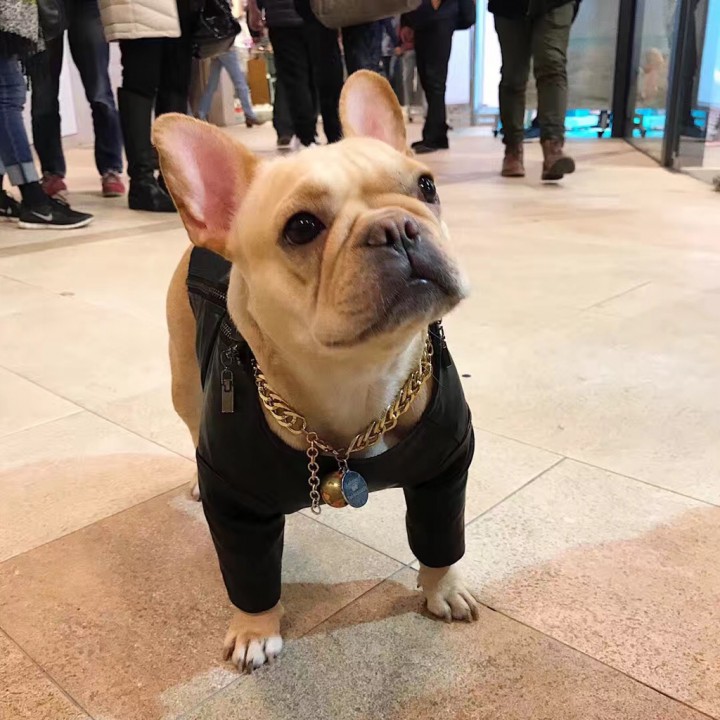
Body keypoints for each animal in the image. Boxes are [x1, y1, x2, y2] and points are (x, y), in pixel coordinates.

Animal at [155, 71, 479, 673]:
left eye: (426, 186)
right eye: (301, 228)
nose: (397, 227)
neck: (356, 379)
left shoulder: (446, 471)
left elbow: (441, 538)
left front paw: (443, 589)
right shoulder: (235, 506)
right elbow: (249, 576)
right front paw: (255, 630)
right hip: (184, 379)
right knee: (188, 424)